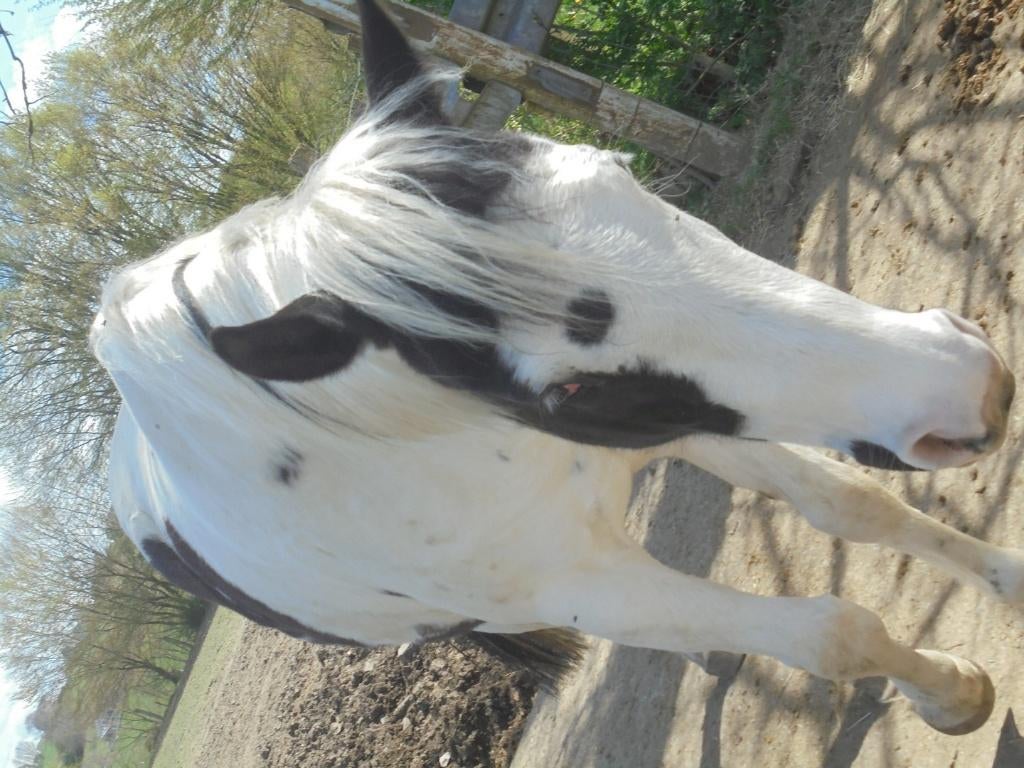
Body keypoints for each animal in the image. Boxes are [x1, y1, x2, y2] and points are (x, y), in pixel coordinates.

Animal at [90, 0, 1019, 735]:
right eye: (568, 392)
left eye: (619, 173)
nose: (968, 383)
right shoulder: (582, 582)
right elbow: (832, 632)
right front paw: (949, 695)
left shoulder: (686, 426)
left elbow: (854, 504)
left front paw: (1007, 580)